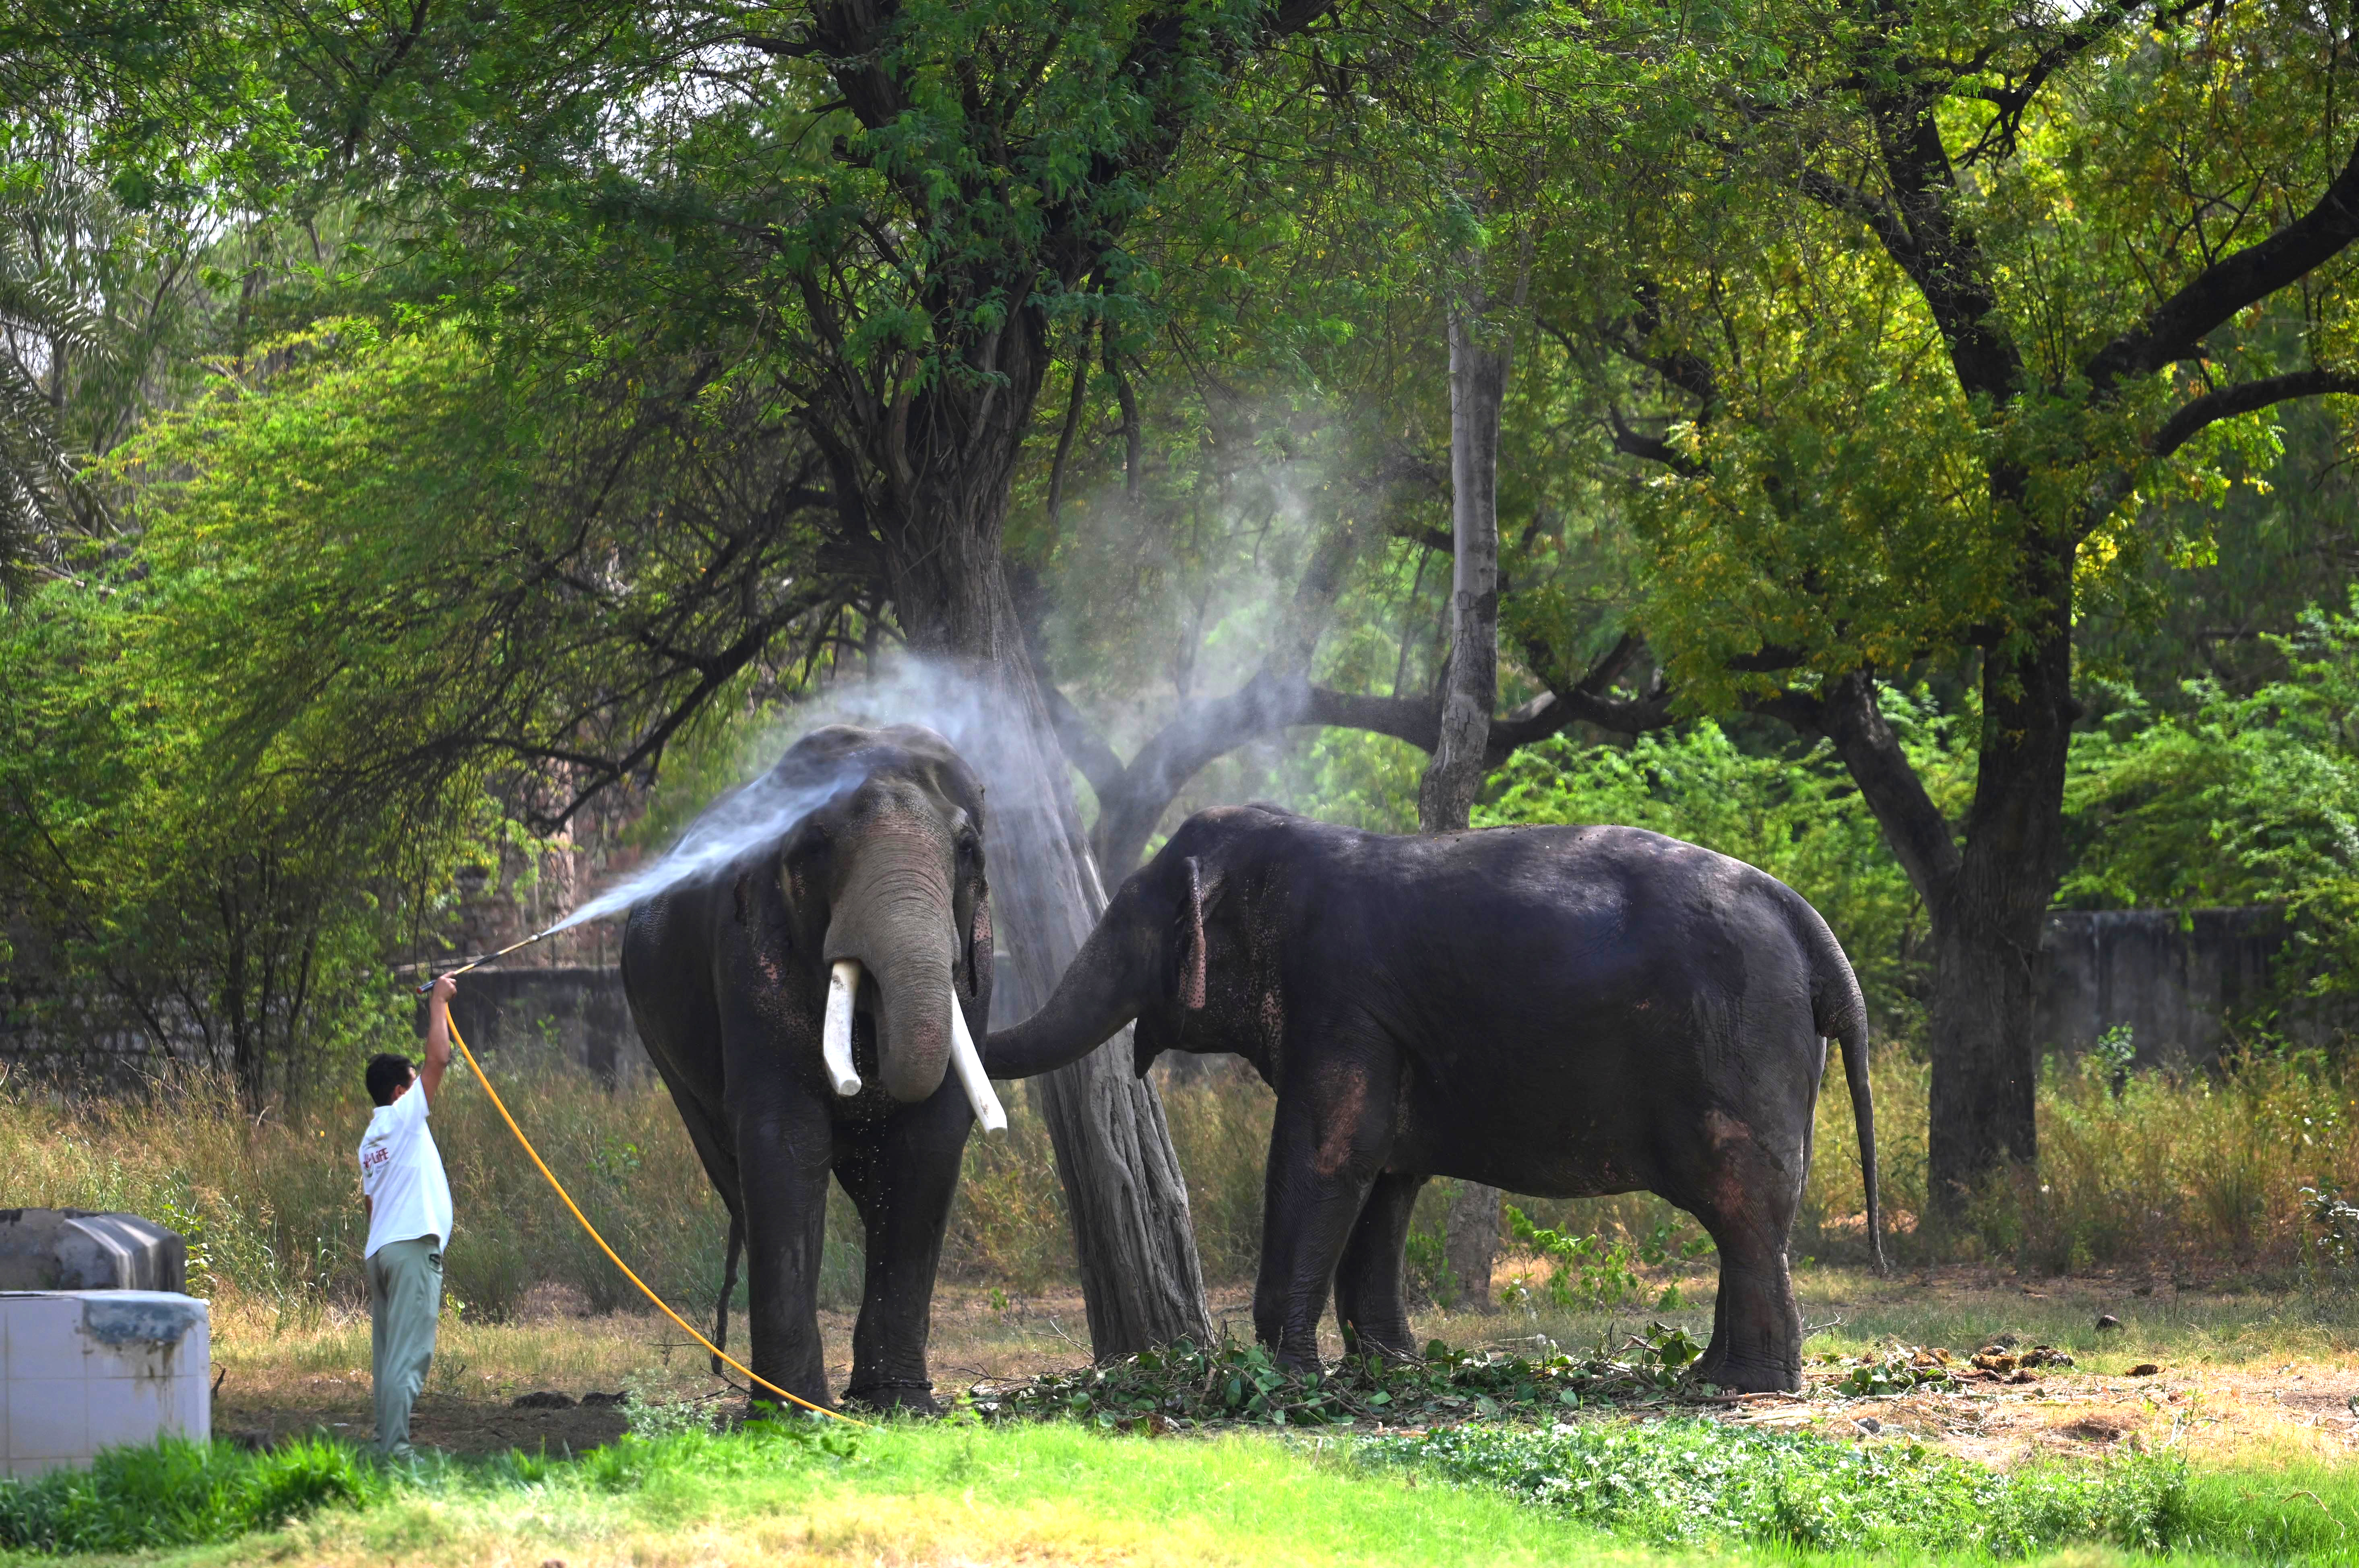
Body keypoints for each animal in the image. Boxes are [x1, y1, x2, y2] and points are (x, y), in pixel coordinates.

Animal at [618, 726, 995, 1415]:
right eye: (816, 844)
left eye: (969, 850)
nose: (853, 1083)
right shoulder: (748, 956)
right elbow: (785, 1137)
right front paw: (794, 1414)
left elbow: (930, 1140)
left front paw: (900, 1406)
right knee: (734, 1173)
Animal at [986, 801, 1887, 1386]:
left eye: (1136, 922)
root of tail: (1804, 919)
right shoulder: (1384, 1028)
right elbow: (1385, 1175)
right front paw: (1392, 1368)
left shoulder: (1341, 1000)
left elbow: (1325, 1159)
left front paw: (1284, 1378)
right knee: (1752, 1220)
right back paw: (1711, 1375)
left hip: (1737, 1040)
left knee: (1741, 1207)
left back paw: (1743, 1386)